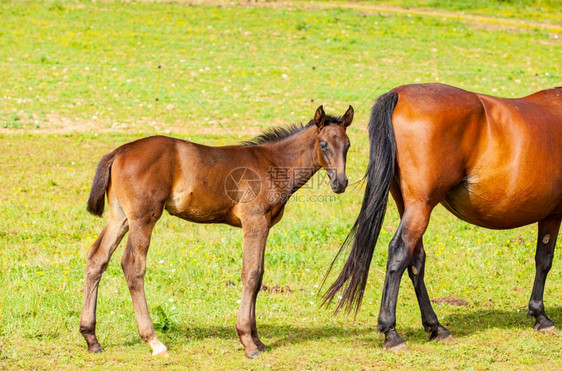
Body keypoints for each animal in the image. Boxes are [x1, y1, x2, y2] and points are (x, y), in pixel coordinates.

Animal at [81, 104, 352, 358]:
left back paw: (91, 338)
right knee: (132, 264)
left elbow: (259, 276)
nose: (340, 183)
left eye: (348, 145)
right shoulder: (254, 223)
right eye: (324, 144)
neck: (273, 164)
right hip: (143, 218)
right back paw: (154, 341)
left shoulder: (264, 226)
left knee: (97, 258)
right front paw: (248, 342)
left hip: (120, 217)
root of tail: (118, 152)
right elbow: (251, 274)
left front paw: (258, 340)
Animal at [322, 83, 560, 352]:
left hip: (408, 205)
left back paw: (436, 327)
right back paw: (391, 332)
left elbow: (542, 259)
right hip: (421, 206)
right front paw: (541, 316)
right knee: (399, 252)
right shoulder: (554, 214)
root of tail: (399, 94)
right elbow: (545, 260)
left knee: (415, 260)